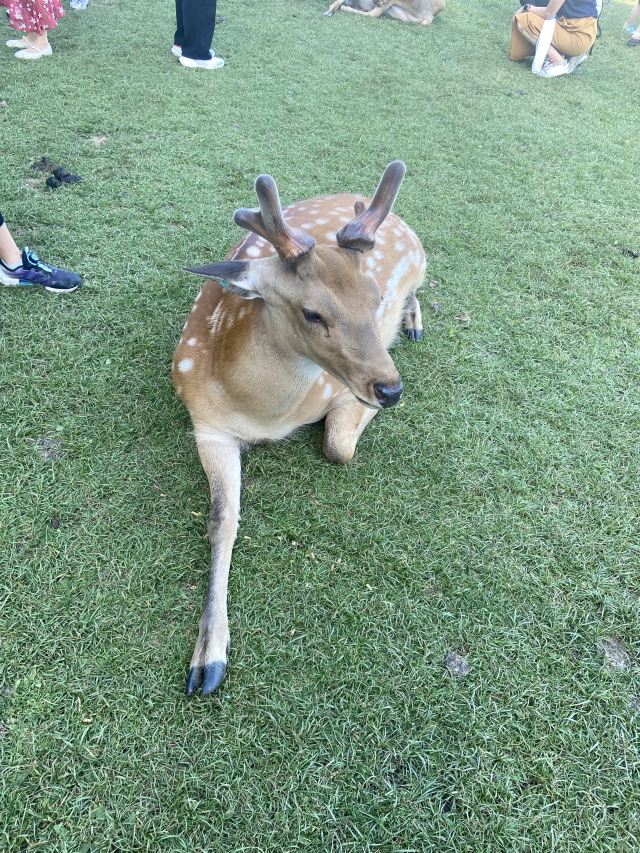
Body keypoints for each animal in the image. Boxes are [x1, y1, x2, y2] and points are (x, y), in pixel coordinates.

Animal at [172, 161, 426, 696]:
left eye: (375, 297)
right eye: (312, 312)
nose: (391, 389)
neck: (262, 414)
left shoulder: (343, 389)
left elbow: (338, 444)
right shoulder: (205, 423)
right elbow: (222, 521)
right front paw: (208, 659)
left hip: (421, 259)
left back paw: (412, 320)